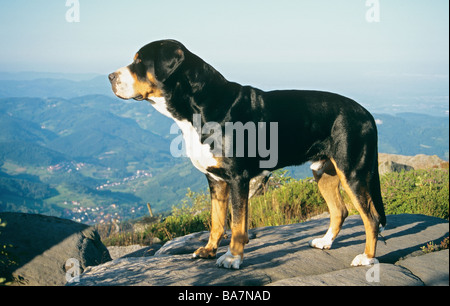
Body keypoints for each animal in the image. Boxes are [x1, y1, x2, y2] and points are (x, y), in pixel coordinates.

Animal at [109, 39, 386, 268]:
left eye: (139, 62)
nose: (110, 76)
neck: (200, 108)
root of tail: (366, 113)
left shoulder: (237, 177)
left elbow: (237, 224)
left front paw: (232, 258)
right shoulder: (216, 180)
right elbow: (217, 221)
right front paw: (209, 250)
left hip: (352, 172)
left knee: (371, 218)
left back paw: (366, 258)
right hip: (323, 171)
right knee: (340, 211)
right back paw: (325, 242)